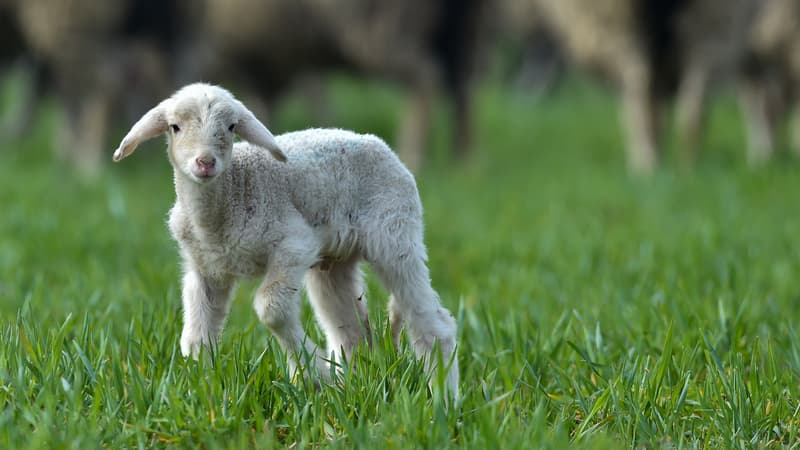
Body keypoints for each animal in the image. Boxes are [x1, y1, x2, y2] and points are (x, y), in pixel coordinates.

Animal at [114, 83, 462, 398]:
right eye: (175, 126)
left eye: (231, 127)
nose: (205, 163)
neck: (231, 195)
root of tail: (382, 145)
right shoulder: (205, 271)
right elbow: (196, 335)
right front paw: (201, 389)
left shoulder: (293, 244)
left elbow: (271, 308)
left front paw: (315, 373)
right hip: (334, 263)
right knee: (351, 333)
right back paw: (351, 387)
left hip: (395, 234)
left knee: (434, 323)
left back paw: (443, 399)